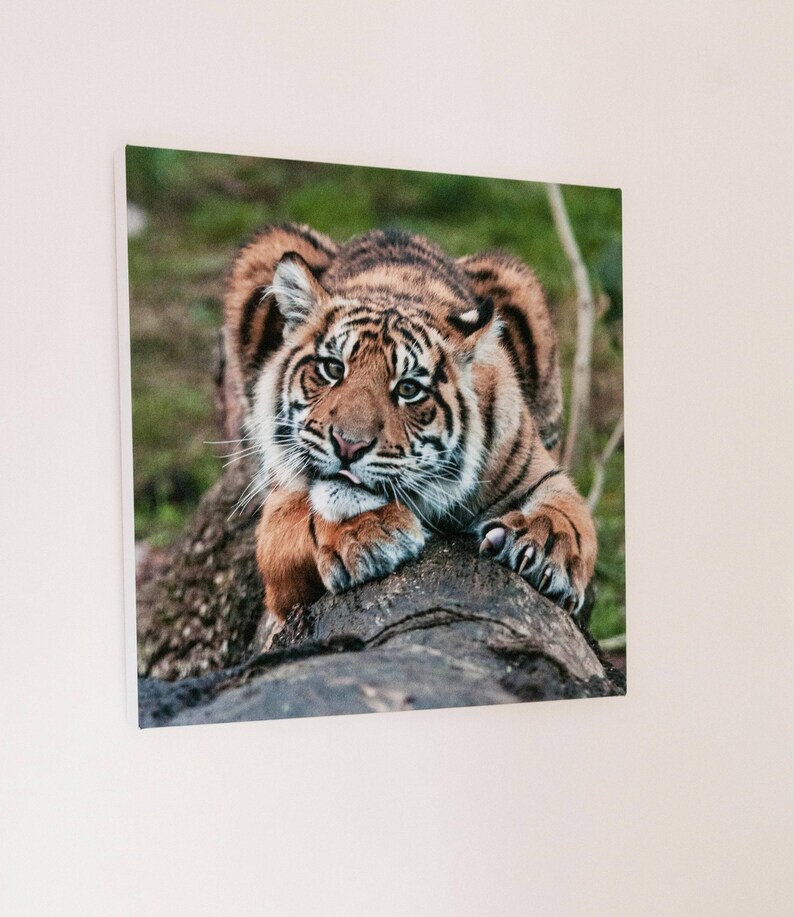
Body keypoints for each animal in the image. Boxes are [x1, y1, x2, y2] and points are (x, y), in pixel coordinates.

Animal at [222, 222, 597, 623]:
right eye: (333, 369)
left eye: (408, 389)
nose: (348, 445)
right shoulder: (278, 511)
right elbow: (308, 514)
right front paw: (370, 532)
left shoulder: (540, 471)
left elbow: (570, 517)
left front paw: (546, 548)